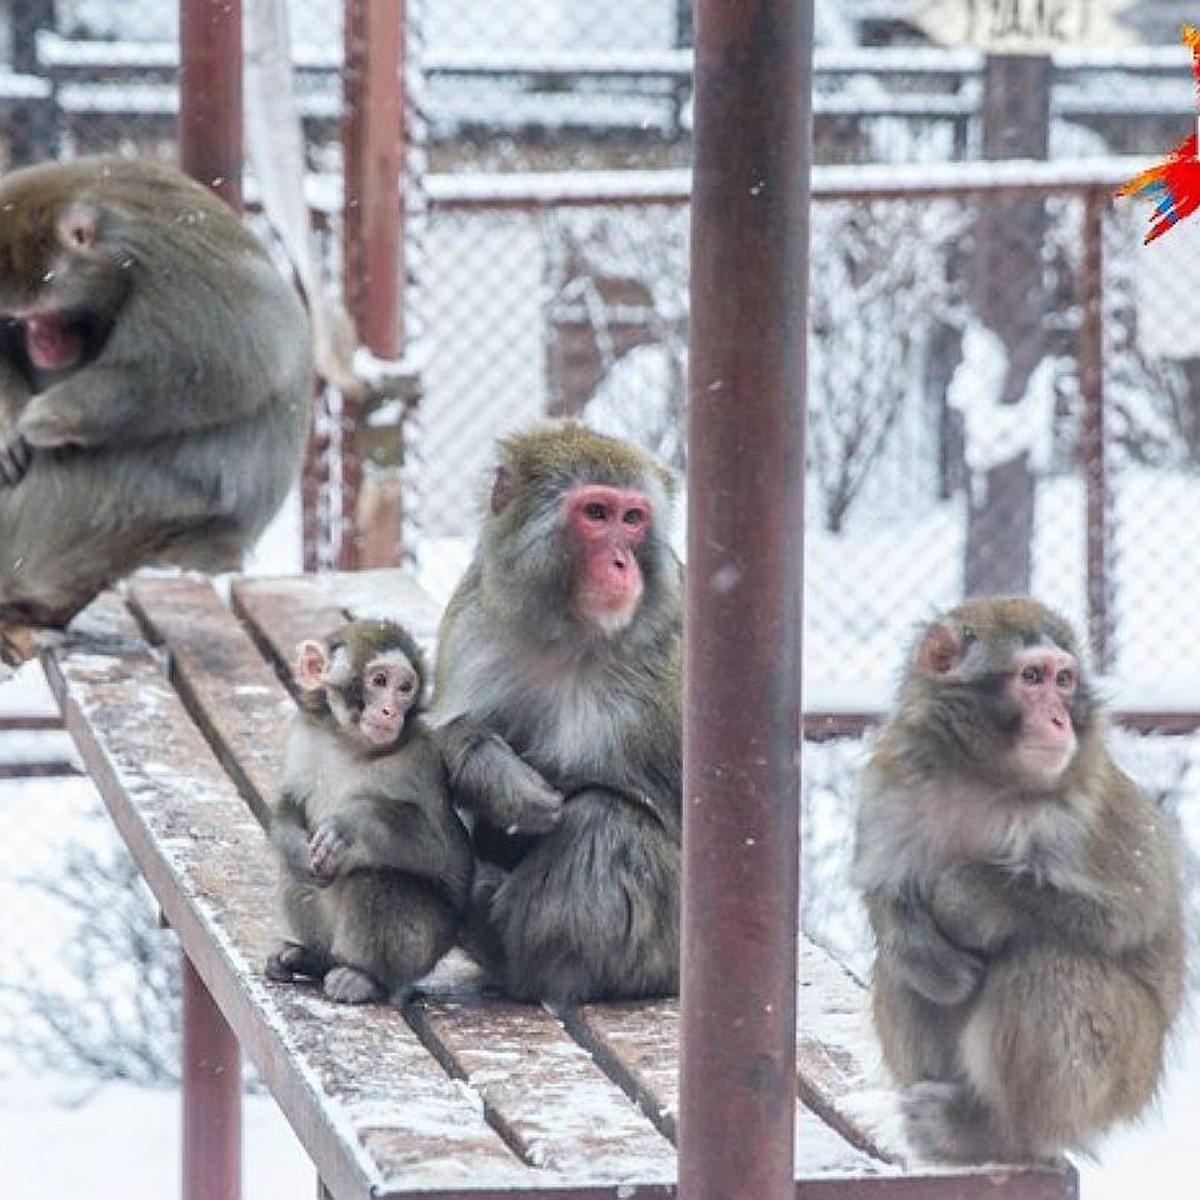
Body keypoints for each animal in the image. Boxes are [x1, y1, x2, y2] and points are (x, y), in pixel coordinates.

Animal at [0, 154, 314, 662]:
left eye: (47, 315)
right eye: (21, 320)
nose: (40, 343)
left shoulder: (167, 268)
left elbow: (246, 352)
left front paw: (48, 419)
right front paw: (8, 426)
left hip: (122, 501)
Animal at [267, 619, 472, 1003]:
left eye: (405, 688)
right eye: (379, 681)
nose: (391, 710)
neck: (349, 745)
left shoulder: (417, 761)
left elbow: (437, 848)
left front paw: (350, 821)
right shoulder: (305, 737)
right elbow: (290, 804)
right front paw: (295, 846)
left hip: (423, 946)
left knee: (375, 878)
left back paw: (365, 977)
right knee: (294, 873)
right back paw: (311, 959)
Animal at [432, 422, 681, 1003]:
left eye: (633, 519)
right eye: (597, 513)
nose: (621, 564)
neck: (564, 635)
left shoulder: (656, 667)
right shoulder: (474, 622)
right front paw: (487, 768)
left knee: (604, 818)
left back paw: (528, 967)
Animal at [859, 600, 1185, 1161]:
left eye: (1065, 680)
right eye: (1032, 677)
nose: (1059, 719)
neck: (982, 778)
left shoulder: (1086, 815)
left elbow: (1132, 912)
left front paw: (965, 899)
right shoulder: (892, 781)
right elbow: (888, 890)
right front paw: (925, 954)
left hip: (1124, 1067)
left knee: (1045, 964)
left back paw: (996, 1133)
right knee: (901, 972)